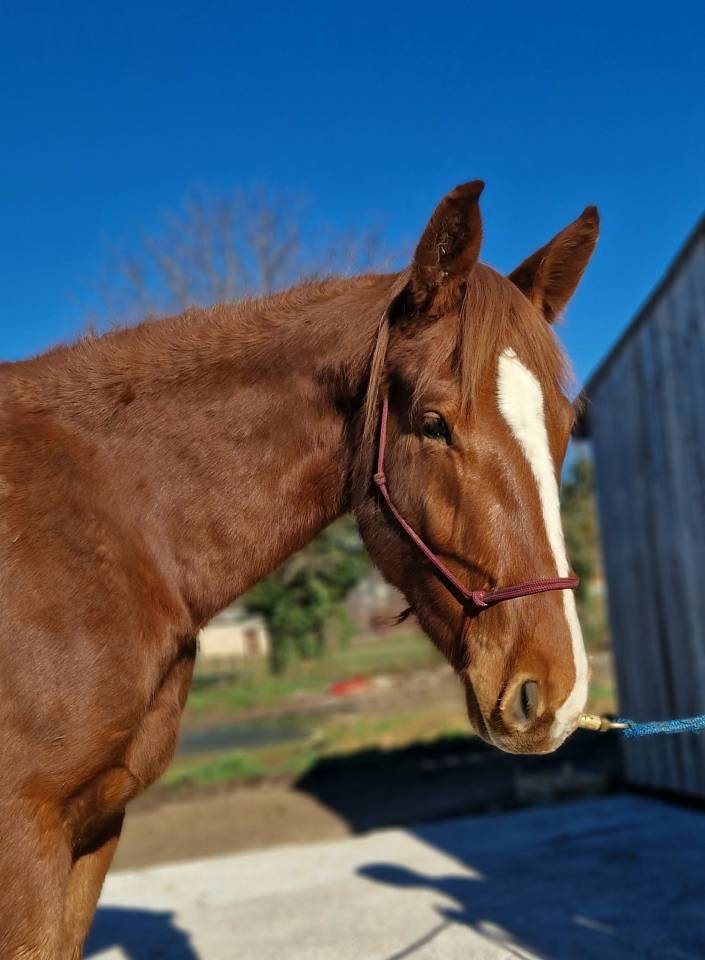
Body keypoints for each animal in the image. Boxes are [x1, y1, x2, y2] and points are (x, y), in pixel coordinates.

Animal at [0, 180, 598, 957]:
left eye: (564, 426)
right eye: (433, 423)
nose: (555, 694)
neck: (99, 522)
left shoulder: (93, 830)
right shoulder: (26, 841)